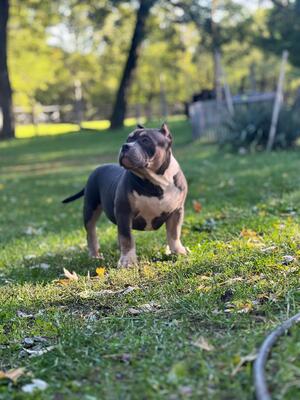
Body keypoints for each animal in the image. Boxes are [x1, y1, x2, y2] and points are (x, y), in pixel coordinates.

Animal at [61, 123, 188, 268]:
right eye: (128, 139)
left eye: (145, 140)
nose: (125, 146)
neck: (154, 182)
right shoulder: (124, 212)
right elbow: (127, 238)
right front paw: (128, 261)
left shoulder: (176, 211)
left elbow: (174, 233)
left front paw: (178, 252)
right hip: (90, 209)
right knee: (91, 231)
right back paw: (95, 256)